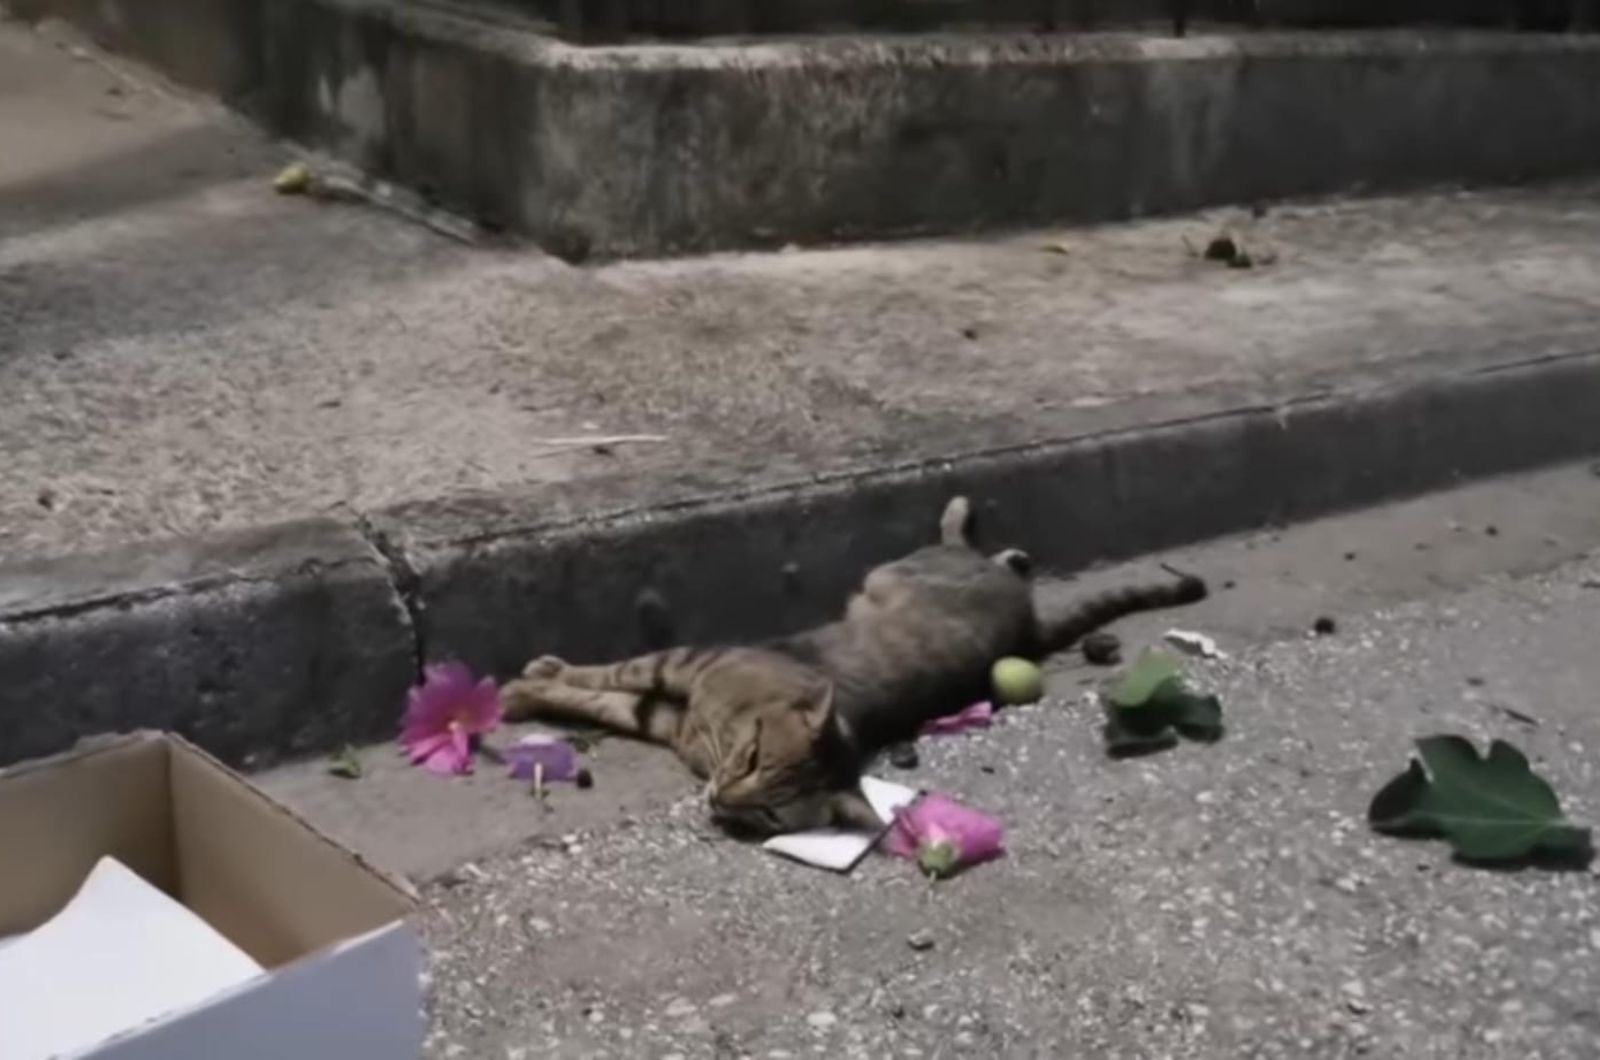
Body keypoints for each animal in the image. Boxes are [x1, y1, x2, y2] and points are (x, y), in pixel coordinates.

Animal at [499, 499, 1203, 839]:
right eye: (752, 759)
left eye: (770, 815)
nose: (723, 799)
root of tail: (1026, 624)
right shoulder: (687, 665)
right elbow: (611, 676)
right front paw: (531, 685)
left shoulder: (674, 705)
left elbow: (609, 695)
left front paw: (533, 688)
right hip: (897, 570)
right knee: (960, 542)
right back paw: (981, 528)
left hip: (899, 572)